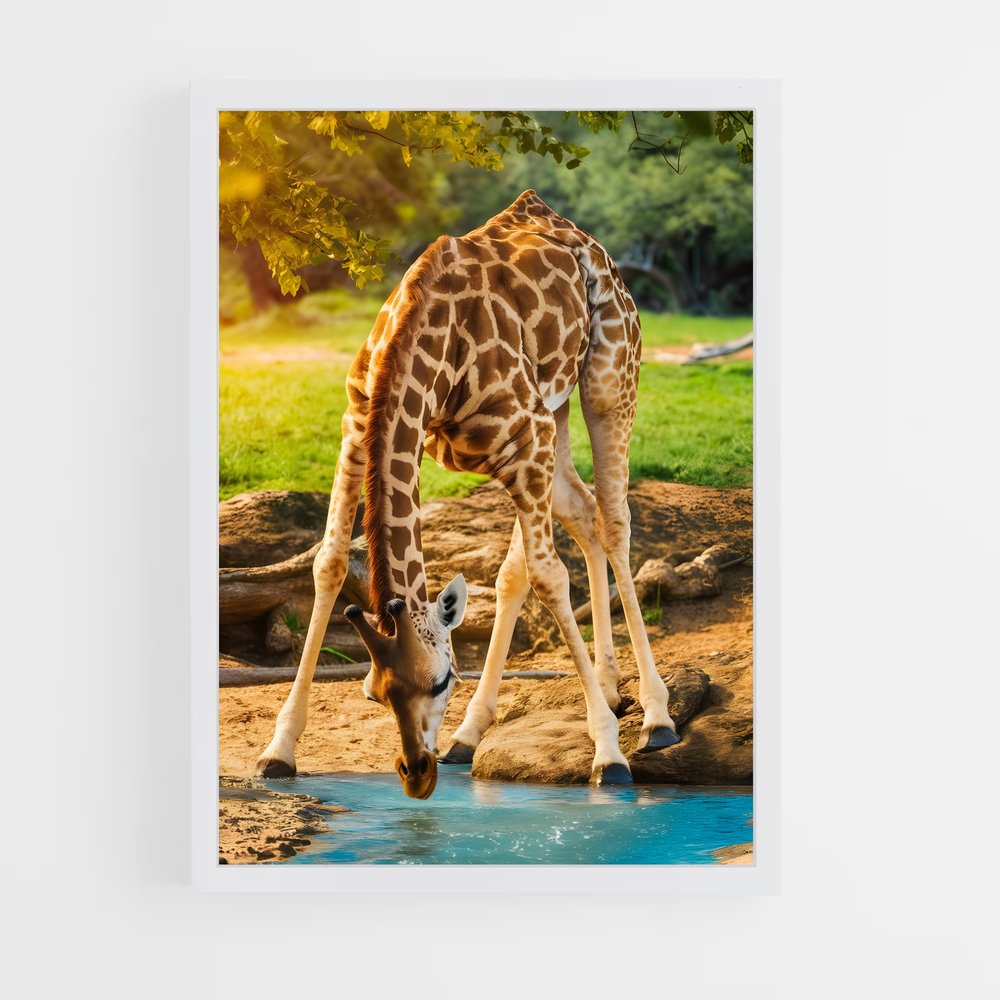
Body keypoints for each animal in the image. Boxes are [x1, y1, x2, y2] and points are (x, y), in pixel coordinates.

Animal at [255, 189, 679, 799]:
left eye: (442, 681)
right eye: (373, 693)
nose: (416, 774)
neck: (426, 344)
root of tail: (576, 232)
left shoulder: (526, 438)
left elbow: (550, 577)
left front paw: (608, 755)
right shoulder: (358, 427)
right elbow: (328, 563)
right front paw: (279, 750)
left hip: (607, 381)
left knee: (612, 521)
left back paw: (655, 716)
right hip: (553, 414)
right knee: (578, 517)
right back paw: (516, 717)